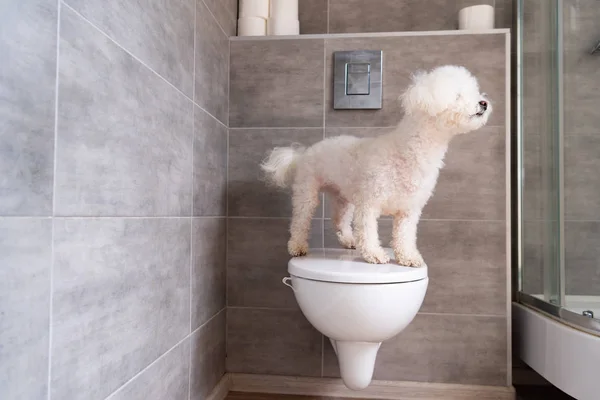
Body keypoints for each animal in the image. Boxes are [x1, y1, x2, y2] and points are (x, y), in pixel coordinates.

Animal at [262, 65, 492, 266]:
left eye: (475, 91)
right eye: (458, 95)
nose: (484, 103)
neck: (406, 151)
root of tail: (303, 153)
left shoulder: (409, 210)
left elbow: (405, 236)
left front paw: (408, 257)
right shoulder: (369, 203)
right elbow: (368, 231)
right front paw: (374, 254)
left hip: (344, 197)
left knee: (339, 220)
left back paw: (348, 240)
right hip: (306, 191)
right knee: (300, 220)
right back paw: (297, 246)